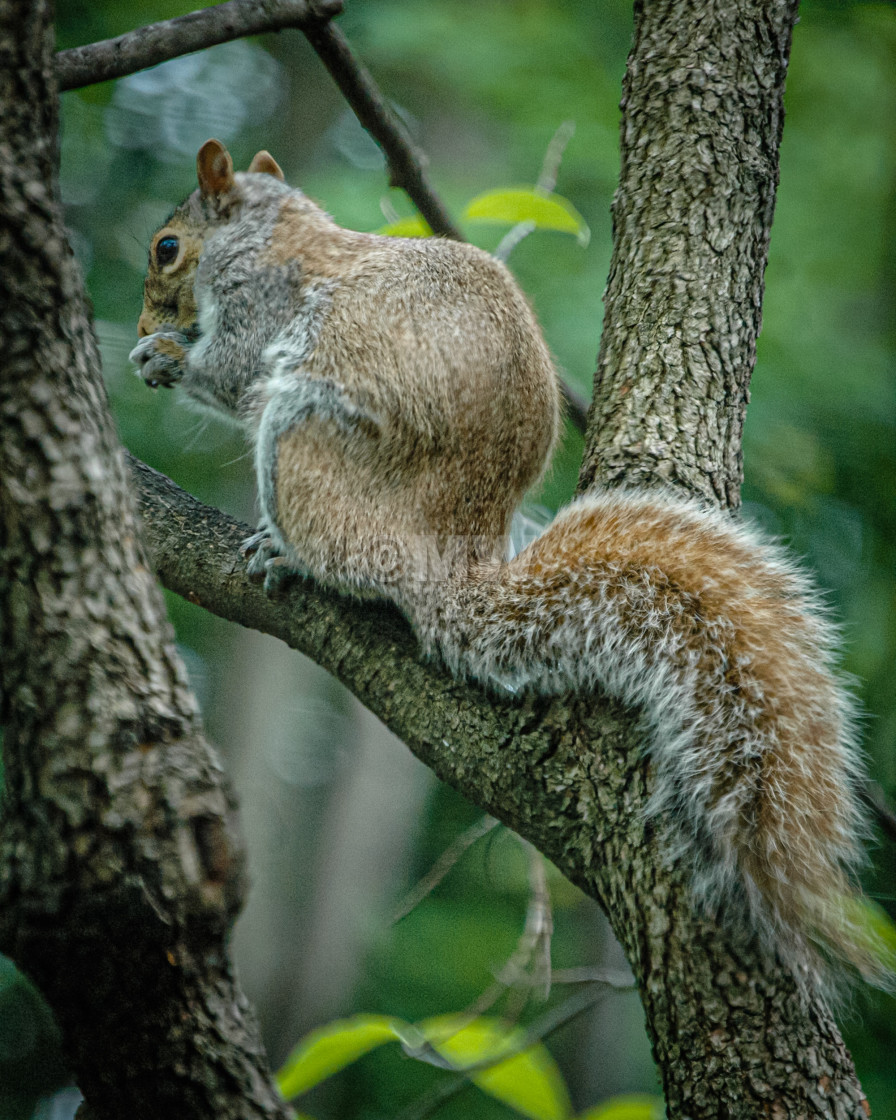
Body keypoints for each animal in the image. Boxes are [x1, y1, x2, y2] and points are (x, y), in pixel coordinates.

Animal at [129, 140, 887, 990]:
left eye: (167, 247)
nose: (145, 319)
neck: (270, 231)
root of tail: (442, 564)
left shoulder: (260, 310)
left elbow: (228, 373)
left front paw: (164, 357)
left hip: (300, 437)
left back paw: (286, 553)